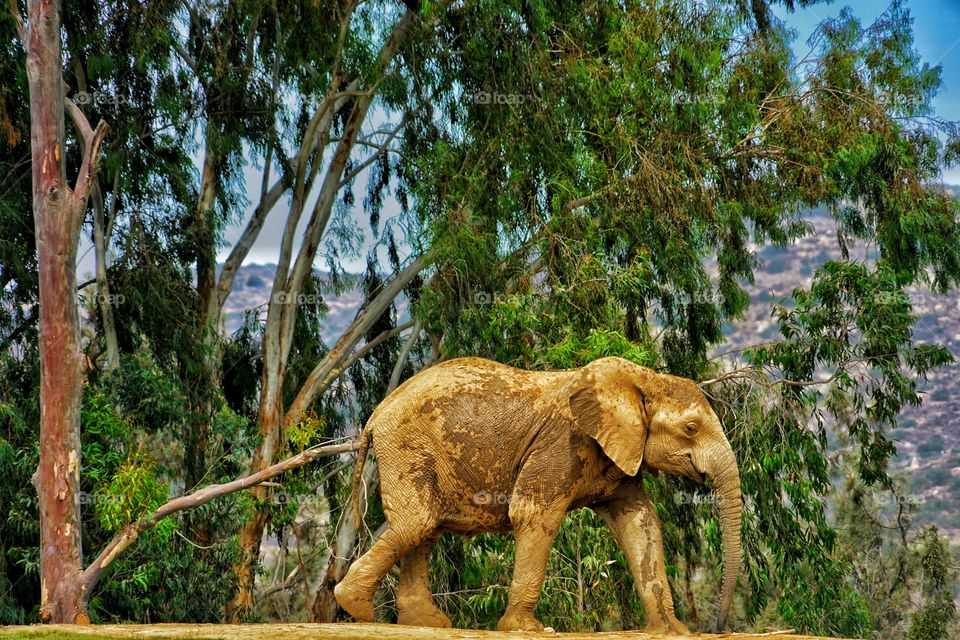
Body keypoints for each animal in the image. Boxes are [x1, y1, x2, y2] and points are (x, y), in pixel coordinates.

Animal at [333, 356, 741, 633]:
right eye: (691, 428)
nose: (719, 627)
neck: (642, 380)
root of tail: (376, 414)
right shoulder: (564, 442)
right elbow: (534, 515)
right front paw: (525, 629)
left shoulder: (620, 453)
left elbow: (640, 524)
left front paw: (673, 631)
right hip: (408, 447)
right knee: (417, 522)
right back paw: (355, 607)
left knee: (425, 527)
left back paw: (425, 623)